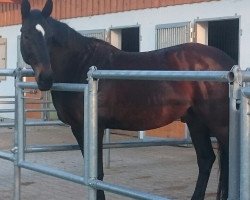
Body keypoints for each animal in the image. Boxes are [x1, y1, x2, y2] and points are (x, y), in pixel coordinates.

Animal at [20, 0, 236, 199]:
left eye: (50, 38)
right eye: (25, 35)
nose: (46, 78)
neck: (80, 66)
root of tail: (228, 64)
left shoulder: (91, 127)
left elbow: (97, 174)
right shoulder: (80, 128)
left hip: (221, 126)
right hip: (196, 122)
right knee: (206, 159)